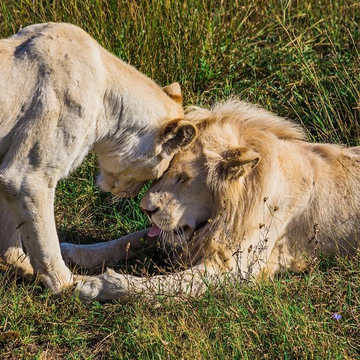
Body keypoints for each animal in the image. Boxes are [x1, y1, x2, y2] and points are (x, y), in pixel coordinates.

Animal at [0, 21, 200, 292]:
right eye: (159, 172)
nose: (132, 198)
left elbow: (9, 235)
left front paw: (21, 267)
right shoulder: (28, 177)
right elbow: (45, 241)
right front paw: (68, 285)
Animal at [61, 97, 360, 300]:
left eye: (183, 178)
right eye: (161, 172)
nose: (146, 209)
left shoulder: (237, 270)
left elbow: (160, 284)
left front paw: (93, 284)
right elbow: (123, 241)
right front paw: (72, 252)